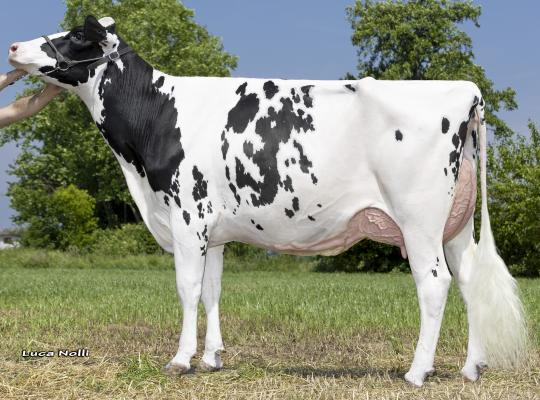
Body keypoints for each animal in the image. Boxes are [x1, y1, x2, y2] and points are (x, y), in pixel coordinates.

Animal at [8, 16, 528, 386]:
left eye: (77, 35)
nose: (13, 46)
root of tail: (464, 89)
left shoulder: (187, 217)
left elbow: (187, 288)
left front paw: (180, 360)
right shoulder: (213, 230)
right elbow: (213, 289)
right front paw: (212, 357)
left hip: (419, 220)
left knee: (435, 284)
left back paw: (418, 372)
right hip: (456, 223)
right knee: (468, 280)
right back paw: (470, 368)